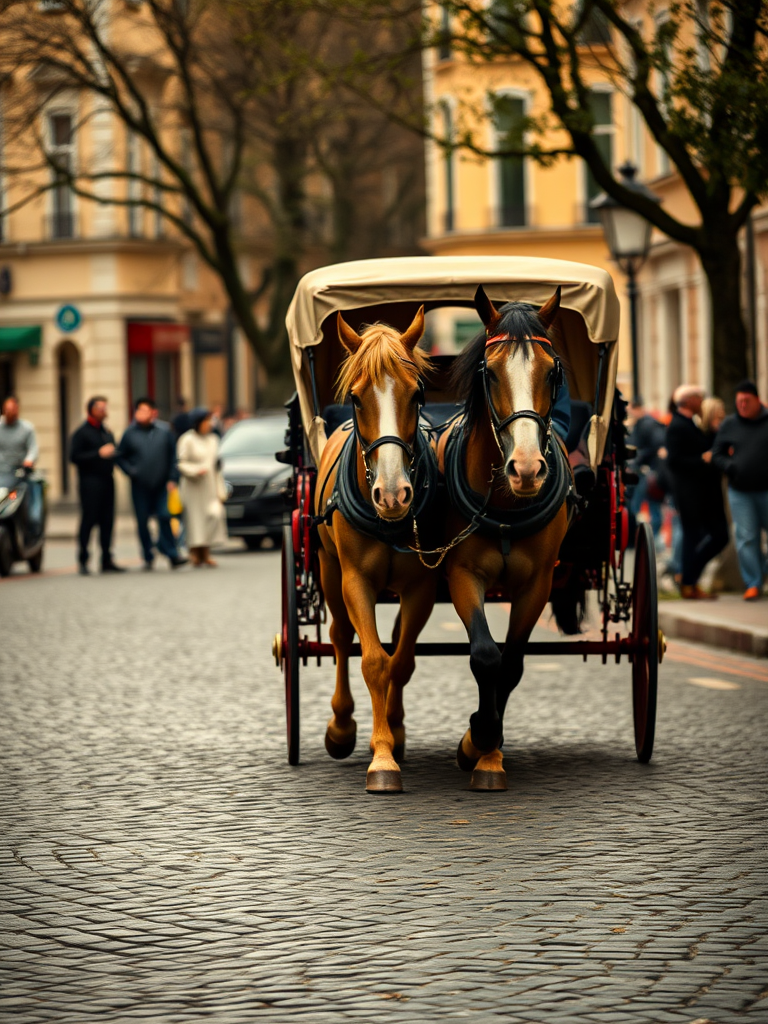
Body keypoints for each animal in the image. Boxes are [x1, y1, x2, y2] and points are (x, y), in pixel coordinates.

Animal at [314, 308, 439, 794]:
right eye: (356, 397)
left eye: (417, 394)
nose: (391, 494)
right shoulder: (355, 581)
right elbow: (371, 661)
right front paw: (381, 757)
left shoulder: (422, 585)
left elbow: (399, 663)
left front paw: (390, 740)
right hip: (328, 571)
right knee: (339, 638)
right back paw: (343, 726)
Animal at [436, 285, 575, 792]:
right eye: (491, 373)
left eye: (552, 372)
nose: (528, 469)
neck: (505, 508)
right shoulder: (462, 573)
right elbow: (484, 656)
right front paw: (478, 738)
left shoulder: (536, 584)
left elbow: (510, 664)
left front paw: (487, 747)